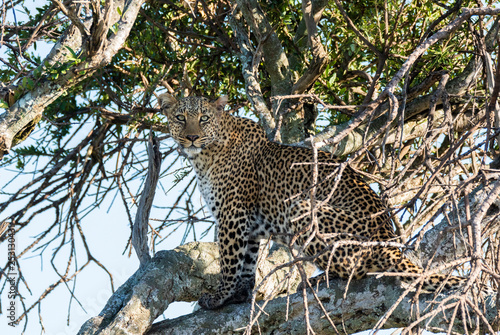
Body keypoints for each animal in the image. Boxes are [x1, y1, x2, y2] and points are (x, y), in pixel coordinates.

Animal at [160, 93, 464, 312]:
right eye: (180, 117)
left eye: (203, 118)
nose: (191, 137)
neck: (204, 156)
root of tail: (387, 242)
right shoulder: (248, 224)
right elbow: (247, 262)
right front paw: (240, 294)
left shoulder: (232, 215)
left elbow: (229, 261)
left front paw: (220, 296)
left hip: (302, 207)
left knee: (356, 268)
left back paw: (320, 278)